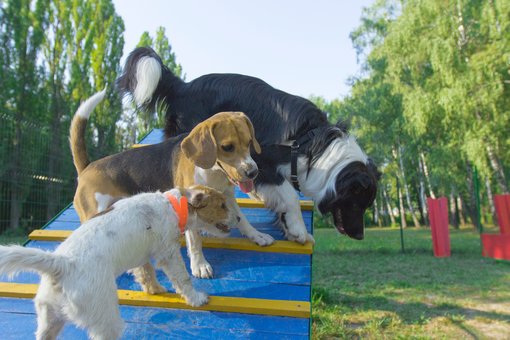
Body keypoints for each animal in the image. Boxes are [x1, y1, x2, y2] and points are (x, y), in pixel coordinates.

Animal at [118, 47, 378, 243]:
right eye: (357, 202)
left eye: (366, 204)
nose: (360, 236)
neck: (314, 147)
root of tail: (184, 86)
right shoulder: (264, 160)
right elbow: (290, 197)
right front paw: (298, 228)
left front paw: (291, 231)